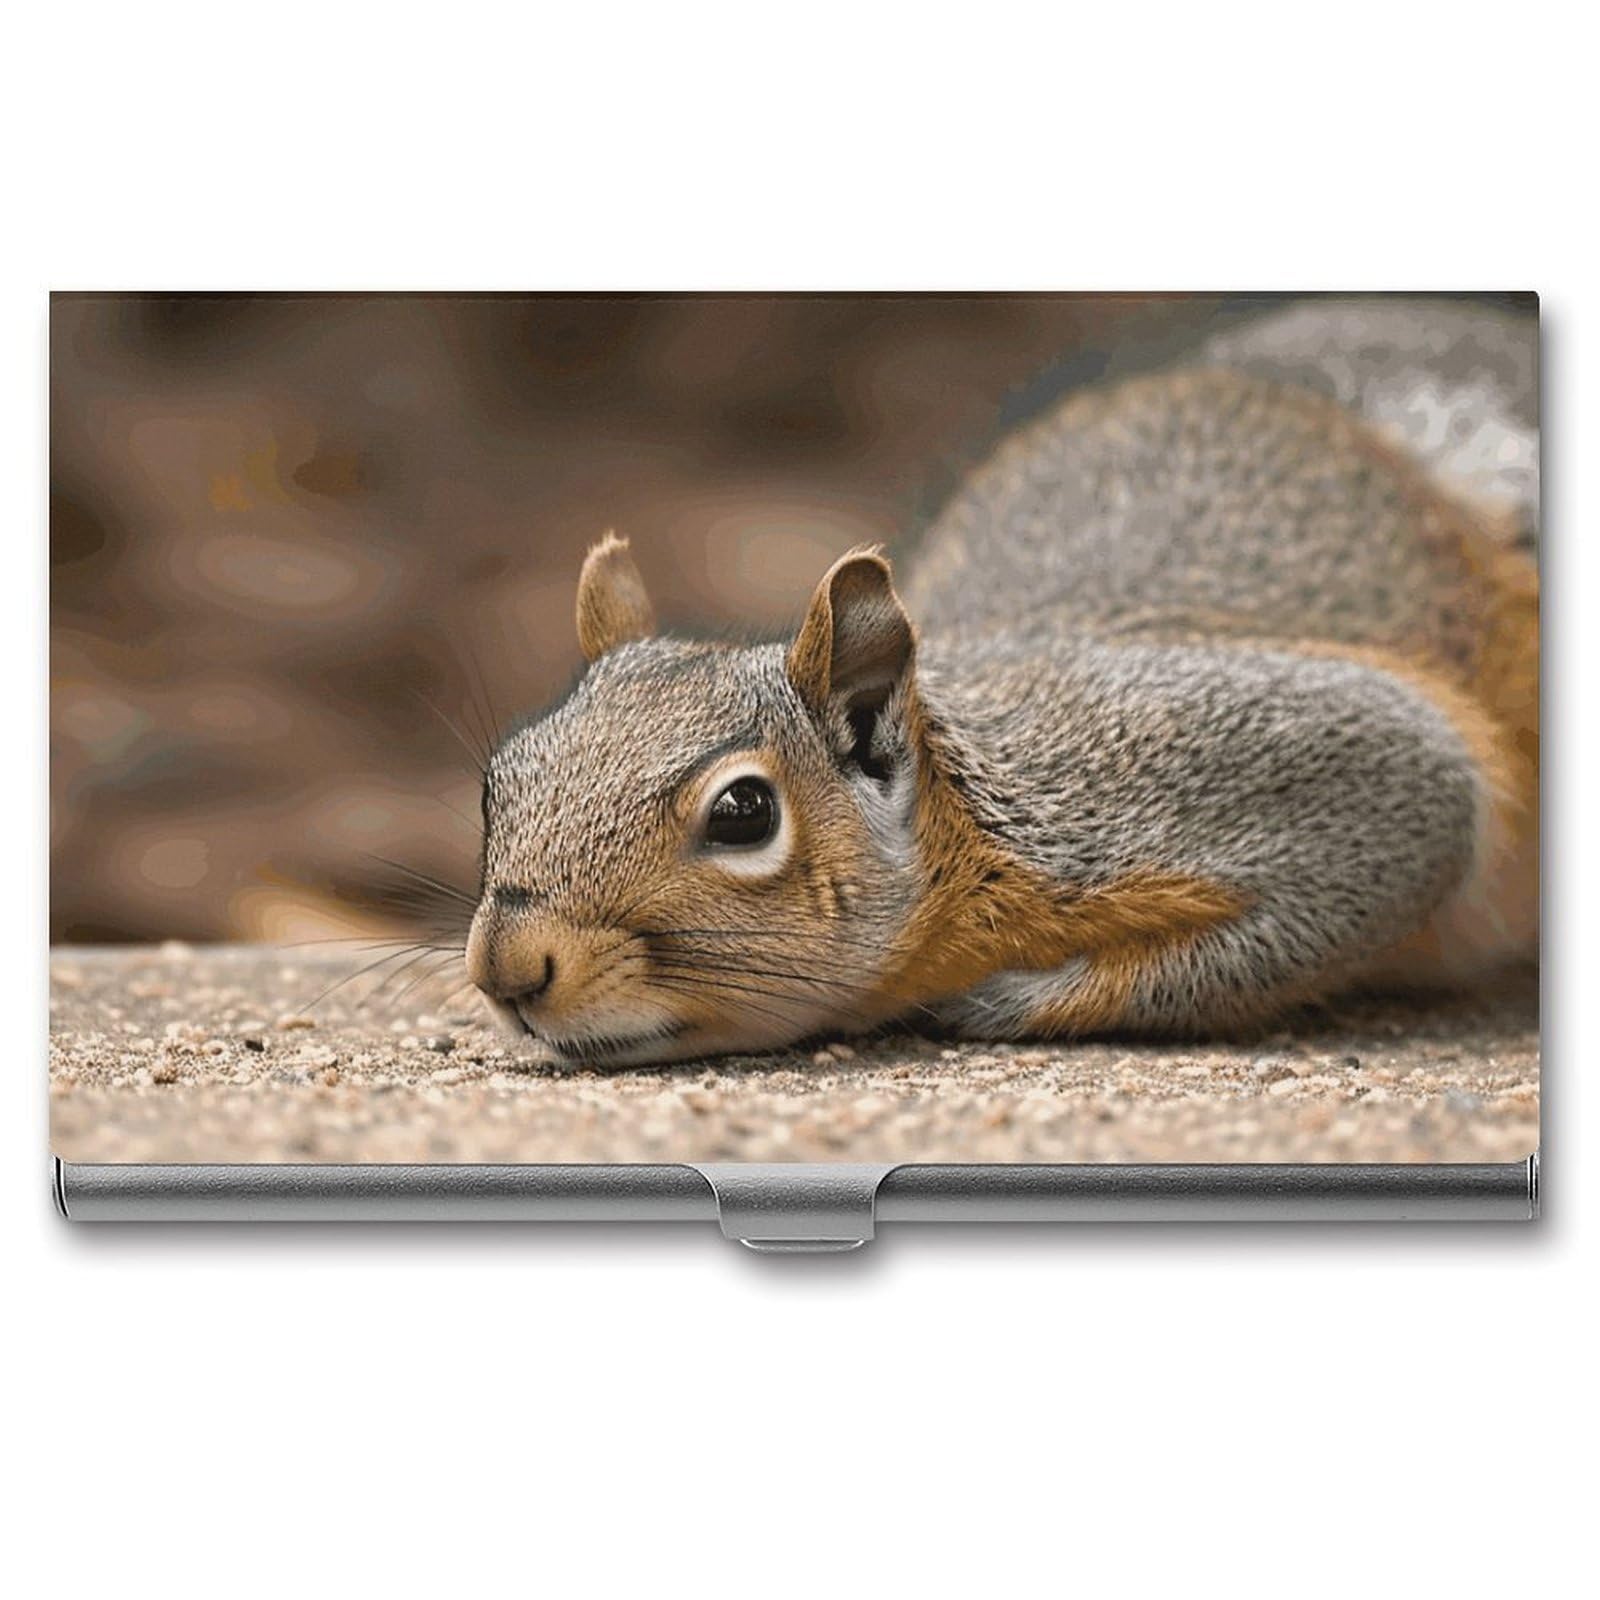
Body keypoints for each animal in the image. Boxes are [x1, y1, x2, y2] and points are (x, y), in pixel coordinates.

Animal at [464, 303, 1539, 1066]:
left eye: (743, 814)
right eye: (498, 782)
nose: (507, 968)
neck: (973, 827)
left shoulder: (1227, 761)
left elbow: (1406, 827)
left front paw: (1003, 1001)